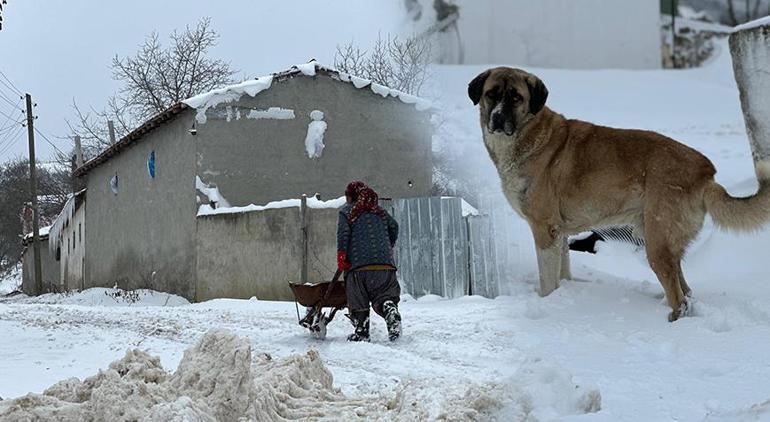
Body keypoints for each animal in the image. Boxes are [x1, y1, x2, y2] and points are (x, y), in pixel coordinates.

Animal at [464, 67, 768, 322]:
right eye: (491, 94)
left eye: (516, 97)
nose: (498, 118)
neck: (528, 134)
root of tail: (705, 172)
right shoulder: (559, 233)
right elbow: (563, 271)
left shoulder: (544, 229)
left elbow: (548, 279)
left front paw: (547, 303)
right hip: (661, 239)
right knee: (686, 289)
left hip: (656, 243)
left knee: (679, 297)